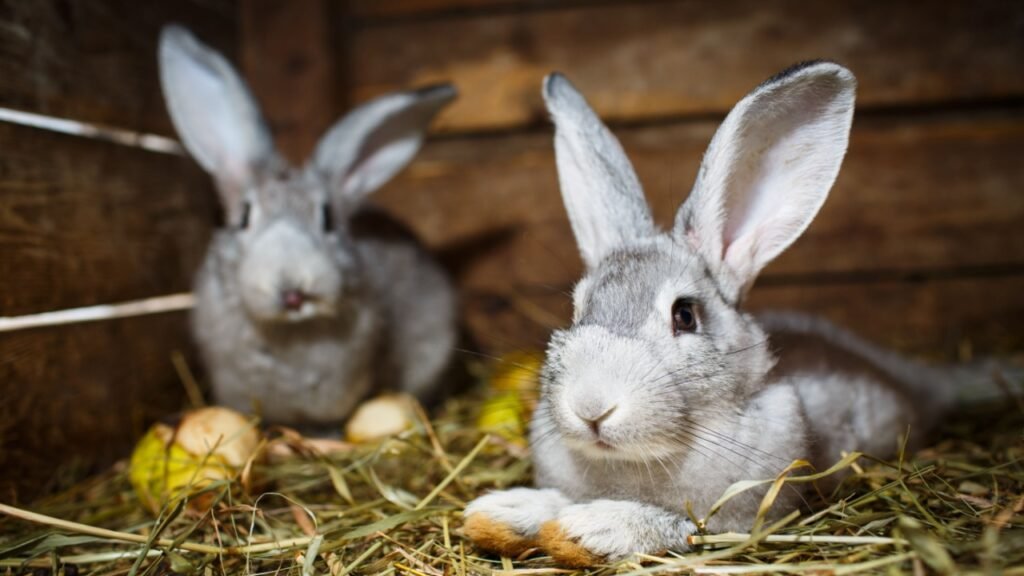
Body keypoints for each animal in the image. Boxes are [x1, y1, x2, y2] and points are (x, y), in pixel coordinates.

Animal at [463, 62, 979, 566]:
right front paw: (498, 513)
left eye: (685, 315)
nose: (591, 406)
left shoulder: (733, 521)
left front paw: (589, 529)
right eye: (577, 307)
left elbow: (680, 526)